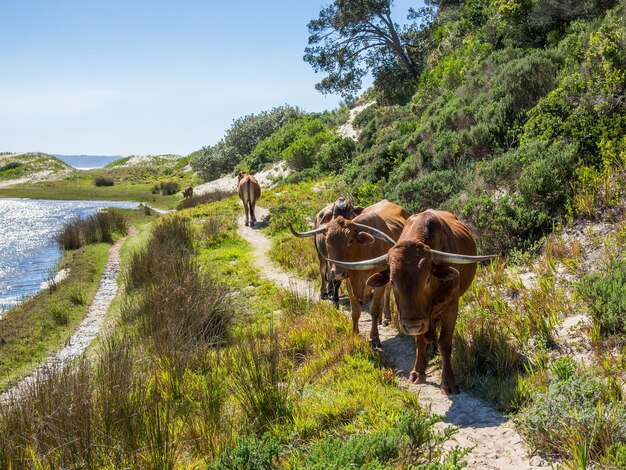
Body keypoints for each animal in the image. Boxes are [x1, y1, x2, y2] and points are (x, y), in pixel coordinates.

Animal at [292, 198, 408, 346]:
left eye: (350, 240)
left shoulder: (378, 281)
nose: (338, 273)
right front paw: (354, 335)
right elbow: (355, 311)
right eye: (327, 241)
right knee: (323, 270)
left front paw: (375, 338)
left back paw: (386, 317)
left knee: (387, 291)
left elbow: (374, 309)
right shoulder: (349, 281)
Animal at [326, 209, 492, 392]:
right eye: (392, 281)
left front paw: (448, 382)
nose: (412, 325)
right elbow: (419, 341)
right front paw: (418, 371)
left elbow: (445, 344)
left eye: (428, 278)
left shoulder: (450, 308)